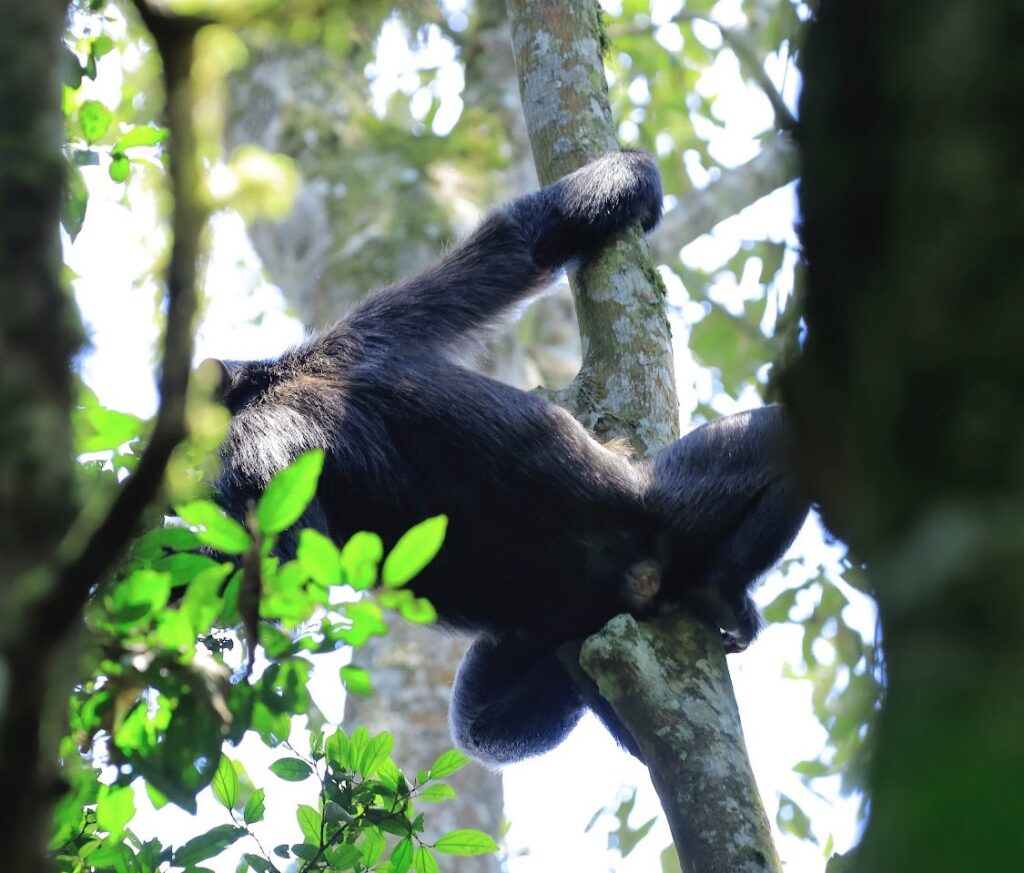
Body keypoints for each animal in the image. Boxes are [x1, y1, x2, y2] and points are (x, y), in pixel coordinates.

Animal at [207, 150, 810, 765]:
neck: (266, 387)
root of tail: (635, 580)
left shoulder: (365, 331)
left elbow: (517, 245)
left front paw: (635, 175)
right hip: (651, 528)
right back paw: (716, 601)